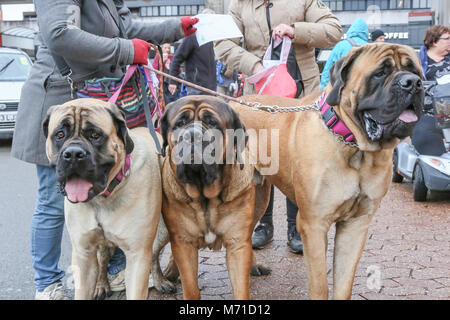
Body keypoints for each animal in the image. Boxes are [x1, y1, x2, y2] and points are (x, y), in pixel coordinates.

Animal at [43, 98, 163, 300]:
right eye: (59, 135)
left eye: (95, 135)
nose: (73, 154)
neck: (102, 198)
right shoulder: (83, 253)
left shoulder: (137, 255)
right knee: (103, 258)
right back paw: (101, 285)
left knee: (155, 254)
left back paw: (161, 281)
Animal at [156, 95, 266, 300]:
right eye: (180, 123)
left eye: (213, 123)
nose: (192, 135)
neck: (205, 197)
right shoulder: (184, 243)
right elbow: (190, 287)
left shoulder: (237, 242)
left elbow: (241, 286)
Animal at [230, 43, 424, 298]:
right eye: (380, 73)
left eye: (416, 72)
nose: (412, 83)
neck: (353, 146)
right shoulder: (314, 224)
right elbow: (320, 285)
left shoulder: (356, 225)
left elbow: (344, 283)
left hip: (258, 198)